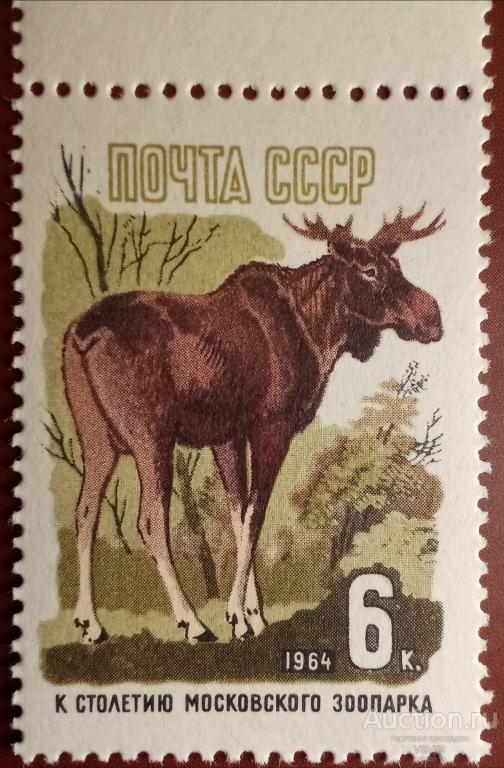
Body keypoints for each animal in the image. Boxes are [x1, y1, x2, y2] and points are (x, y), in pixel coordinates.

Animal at [63, 204, 444, 644]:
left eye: (396, 264)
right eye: (369, 269)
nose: (433, 316)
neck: (319, 335)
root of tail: (80, 335)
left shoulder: (227, 436)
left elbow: (239, 513)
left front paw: (252, 616)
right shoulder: (272, 426)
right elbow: (255, 516)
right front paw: (237, 615)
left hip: (96, 436)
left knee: (85, 510)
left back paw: (90, 622)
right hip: (150, 435)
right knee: (150, 520)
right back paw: (193, 623)